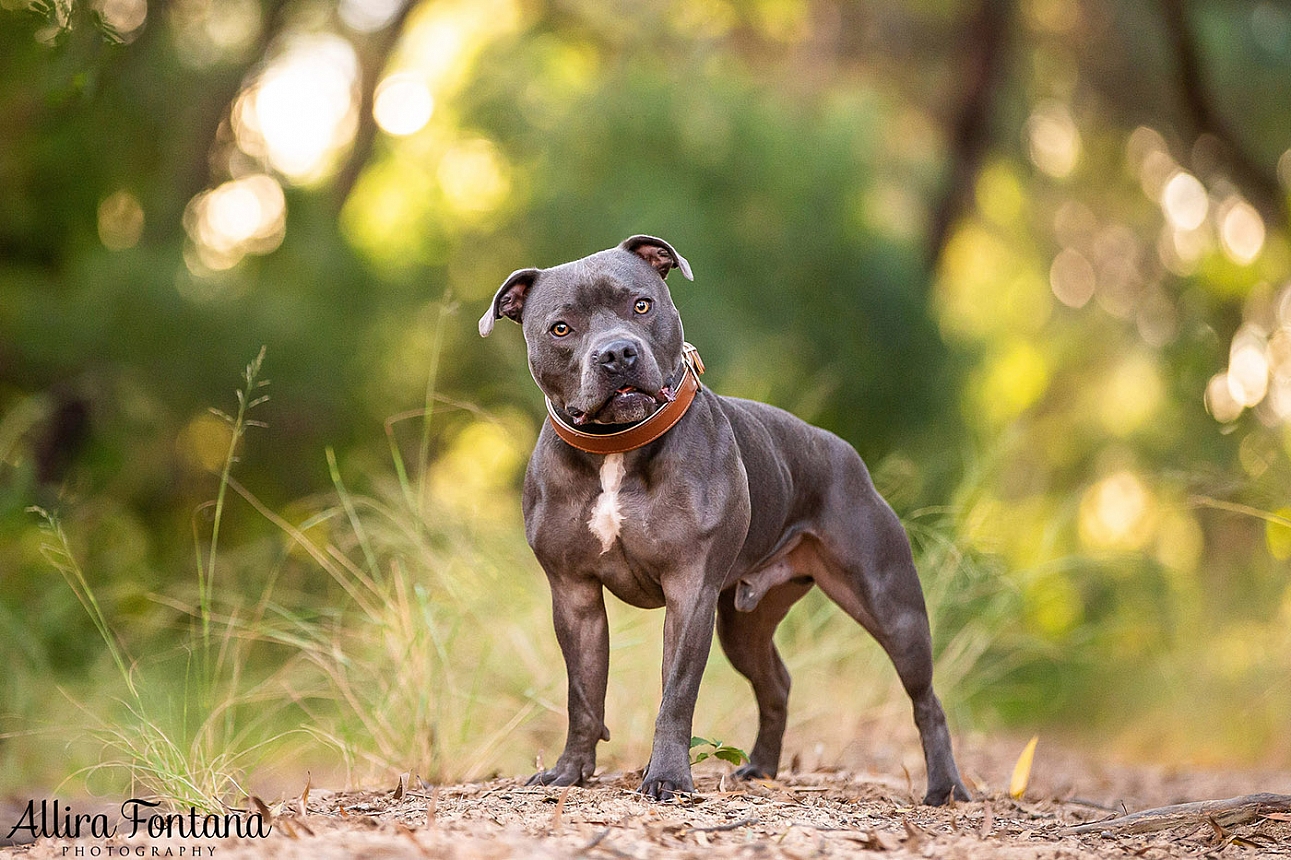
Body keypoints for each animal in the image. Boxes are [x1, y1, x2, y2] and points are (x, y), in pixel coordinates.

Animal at [477, 235, 970, 805]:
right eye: (561, 328)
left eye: (641, 305)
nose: (618, 352)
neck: (615, 447)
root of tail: (841, 450)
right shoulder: (574, 595)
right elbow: (583, 695)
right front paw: (569, 771)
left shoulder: (690, 591)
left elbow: (676, 693)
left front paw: (667, 777)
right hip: (744, 622)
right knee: (776, 683)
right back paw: (762, 768)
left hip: (891, 606)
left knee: (926, 699)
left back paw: (947, 787)